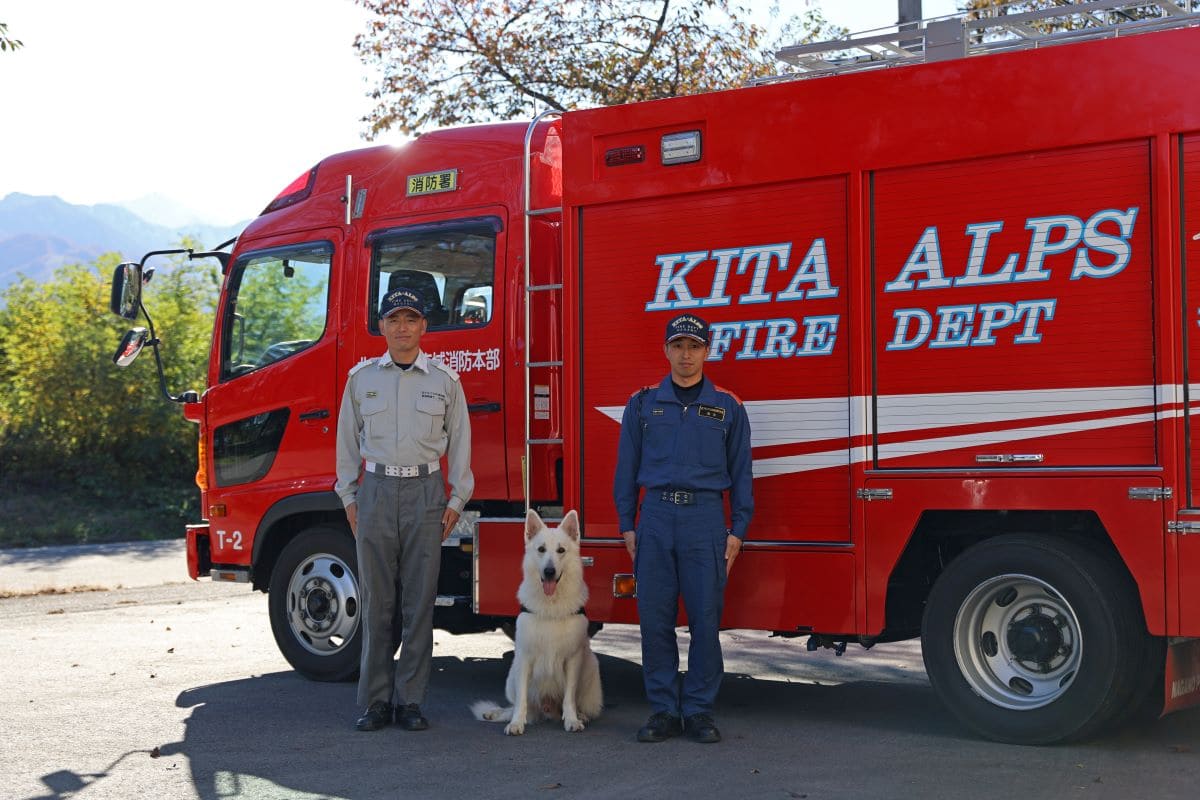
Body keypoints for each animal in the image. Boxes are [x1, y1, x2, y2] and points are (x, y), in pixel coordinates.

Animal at [468, 510, 600, 734]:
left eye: (561, 550)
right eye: (541, 549)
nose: (549, 571)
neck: (551, 604)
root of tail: (546, 709)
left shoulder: (573, 659)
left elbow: (569, 698)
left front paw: (572, 719)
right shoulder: (525, 658)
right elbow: (521, 700)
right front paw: (516, 723)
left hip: (591, 665)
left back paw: (580, 715)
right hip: (512, 674)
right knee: (515, 706)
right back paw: (496, 713)